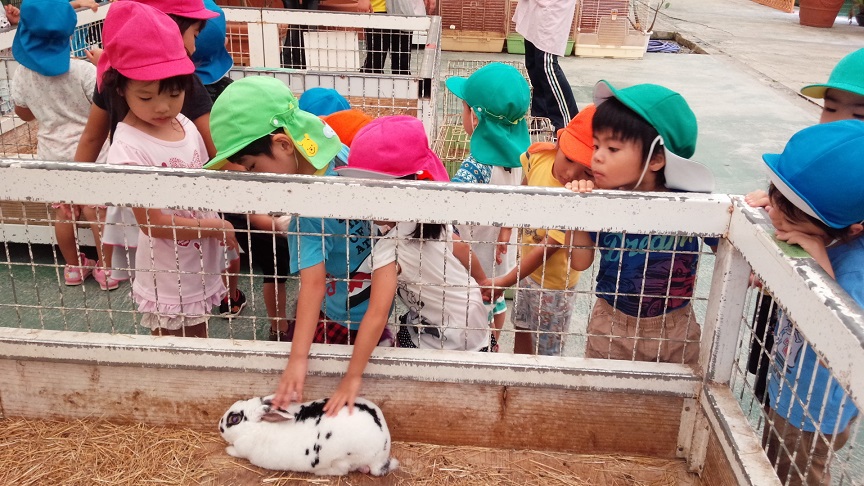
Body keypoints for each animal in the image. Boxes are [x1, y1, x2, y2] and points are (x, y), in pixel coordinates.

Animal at [219, 394, 402, 474]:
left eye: (234, 419)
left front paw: (228, 449)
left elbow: (235, 451)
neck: (255, 427)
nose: (220, 426)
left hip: (341, 458)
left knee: (341, 470)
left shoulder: (243, 449)